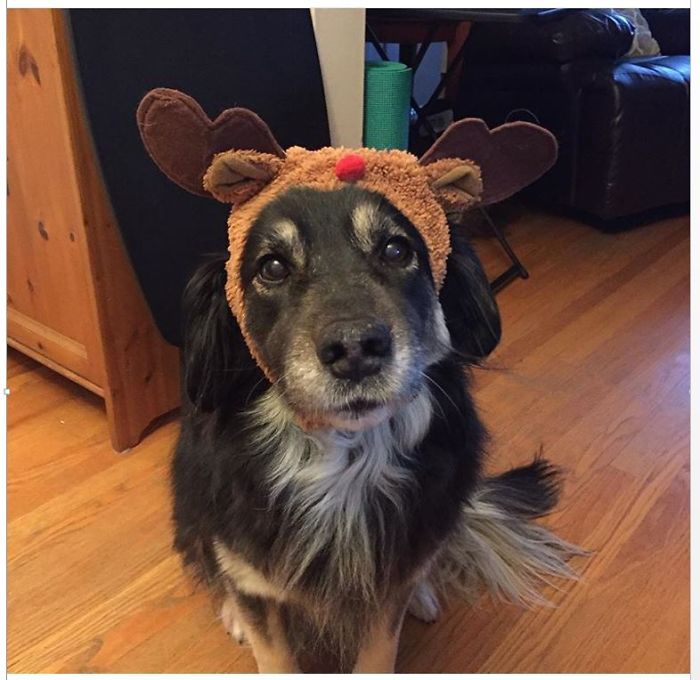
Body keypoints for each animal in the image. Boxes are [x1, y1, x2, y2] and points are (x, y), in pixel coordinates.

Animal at [138, 87, 584, 672]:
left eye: (397, 250)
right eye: (272, 267)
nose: (354, 350)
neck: (341, 461)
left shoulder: (386, 587)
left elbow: (379, 647)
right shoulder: (257, 579)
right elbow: (266, 640)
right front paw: (243, 620)